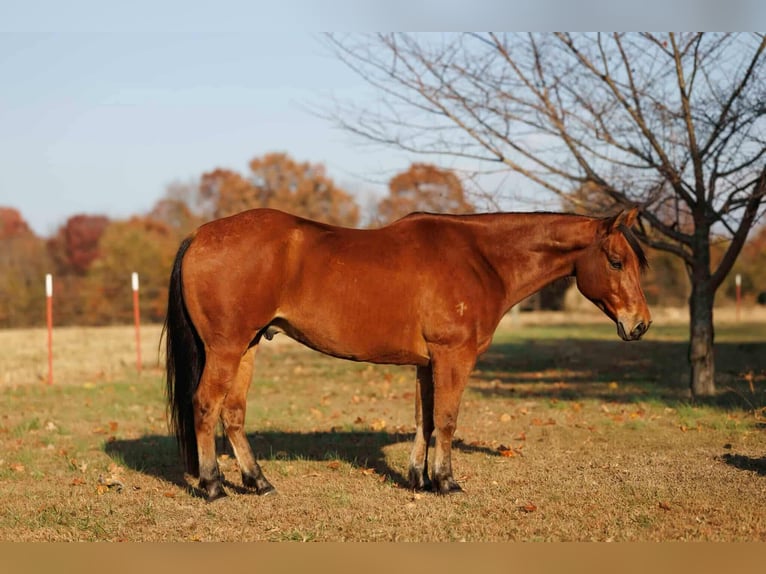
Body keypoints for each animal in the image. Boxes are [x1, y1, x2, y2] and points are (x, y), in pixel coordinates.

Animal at [164, 207, 651, 501]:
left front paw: (419, 479)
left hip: (246, 347)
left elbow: (426, 419)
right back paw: (212, 485)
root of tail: (200, 234)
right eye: (615, 261)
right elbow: (448, 420)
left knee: (233, 413)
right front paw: (448, 482)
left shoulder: (426, 363)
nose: (640, 324)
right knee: (205, 406)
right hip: (226, 348)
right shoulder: (453, 357)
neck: (480, 259)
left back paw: (258, 482)